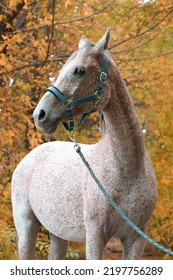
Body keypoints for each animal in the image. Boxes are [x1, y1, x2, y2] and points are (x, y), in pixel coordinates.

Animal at [10, 29, 157, 260]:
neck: (128, 169)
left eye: (80, 71)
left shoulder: (136, 239)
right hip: (26, 228)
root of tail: (30, 157)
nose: (39, 115)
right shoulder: (95, 236)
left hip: (58, 234)